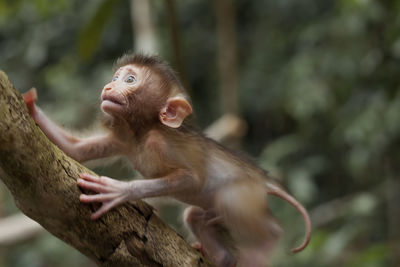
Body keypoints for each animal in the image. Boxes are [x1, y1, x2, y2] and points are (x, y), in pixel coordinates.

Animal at [23, 55, 312, 267]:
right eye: (115, 78)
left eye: (129, 79)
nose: (108, 86)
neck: (141, 131)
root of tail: (263, 179)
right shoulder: (123, 140)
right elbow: (76, 149)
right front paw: (30, 105)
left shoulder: (158, 142)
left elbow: (191, 178)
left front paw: (120, 191)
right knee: (195, 216)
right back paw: (221, 257)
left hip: (245, 194)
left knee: (237, 206)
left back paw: (266, 244)